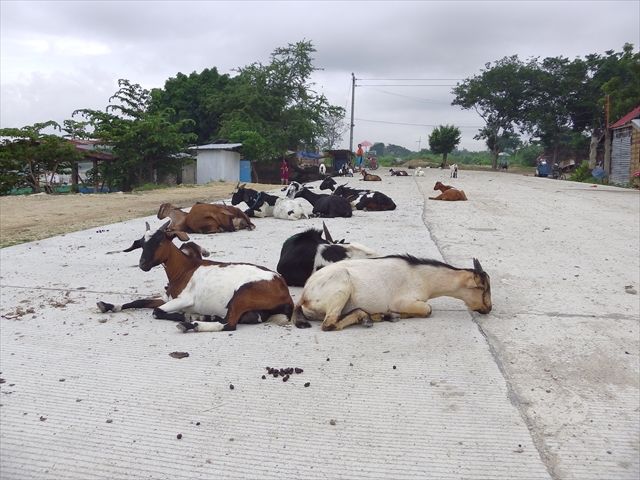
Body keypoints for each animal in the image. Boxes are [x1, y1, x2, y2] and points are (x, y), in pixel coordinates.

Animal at [292, 256, 492, 332]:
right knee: (329, 324)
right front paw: (393, 314)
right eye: (483, 288)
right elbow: (428, 309)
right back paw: (371, 317)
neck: (422, 276)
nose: (489, 308)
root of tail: (304, 297)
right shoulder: (403, 301)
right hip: (341, 285)